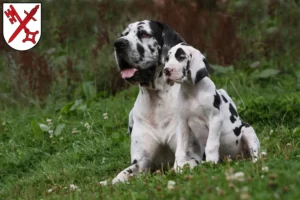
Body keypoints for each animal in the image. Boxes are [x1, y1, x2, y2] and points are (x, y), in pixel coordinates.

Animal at [99, 19, 184, 185]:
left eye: (144, 33)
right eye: (124, 34)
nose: (118, 43)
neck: (156, 101)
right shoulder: (140, 162)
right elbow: (120, 176)